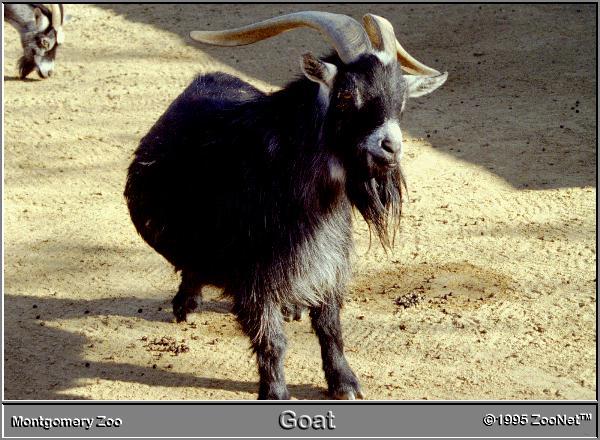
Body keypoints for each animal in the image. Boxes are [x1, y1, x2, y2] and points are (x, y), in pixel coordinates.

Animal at [124, 11, 448, 398]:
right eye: (346, 94)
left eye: (401, 99)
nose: (390, 148)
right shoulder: (255, 274)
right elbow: (272, 340)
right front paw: (276, 392)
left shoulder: (328, 260)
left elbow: (330, 327)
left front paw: (345, 383)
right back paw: (185, 304)